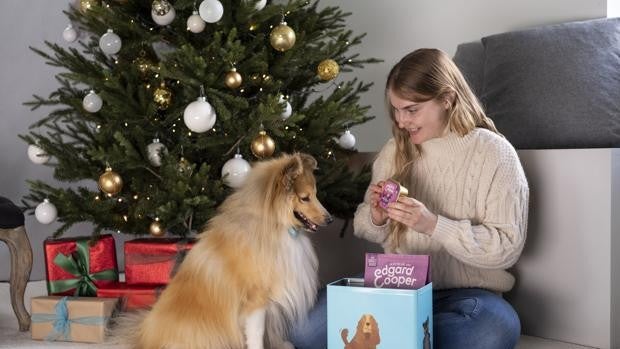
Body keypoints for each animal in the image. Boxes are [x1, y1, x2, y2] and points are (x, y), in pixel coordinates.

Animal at [123, 152, 332, 348]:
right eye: (305, 198)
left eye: (315, 194)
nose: (330, 219)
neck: (273, 225)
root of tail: (142, 340)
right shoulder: (256, 299)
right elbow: (257, 333)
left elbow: (270, 329)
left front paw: (280, 344)